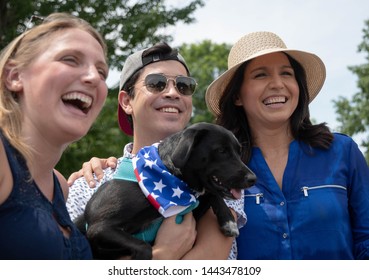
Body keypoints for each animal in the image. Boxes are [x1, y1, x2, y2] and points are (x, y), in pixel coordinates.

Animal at [73, 122, 254, 260]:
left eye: (239, 152)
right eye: (222, 151)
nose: (253, 179)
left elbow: (211, 194)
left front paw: (228, 221)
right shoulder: (99, 227)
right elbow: (144, 247)